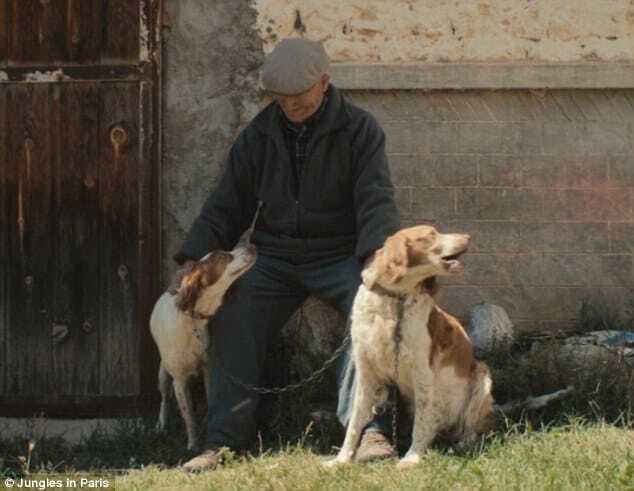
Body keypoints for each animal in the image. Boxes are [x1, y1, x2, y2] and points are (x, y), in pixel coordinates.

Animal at [149, 244, 256, 452]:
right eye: (224, 256)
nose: (252, 246)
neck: (193, 323)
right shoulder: (179, 380)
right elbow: (189, 416)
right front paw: (193, 443)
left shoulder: (208, 368)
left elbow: (209, 400)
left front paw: (207, 426)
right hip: (163, 373)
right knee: (164, 398)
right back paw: (161, 425)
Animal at [326, 227, 494, 468]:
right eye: (431, 234)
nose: (468, 237)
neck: (395, 299)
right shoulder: (366, 374)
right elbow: (354, 424)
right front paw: (341, 460)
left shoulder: (422, 372)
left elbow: (422, 422)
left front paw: (412, 458)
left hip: (482, 376)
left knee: (470, 427)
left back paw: (463, 444)